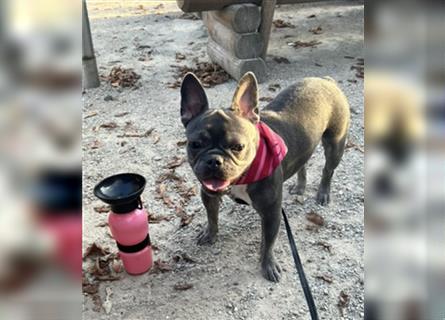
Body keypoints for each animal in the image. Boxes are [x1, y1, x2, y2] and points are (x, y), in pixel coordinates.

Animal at [179, 73, 348, 282]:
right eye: (195, 144)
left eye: (238, 147)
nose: (214, 160)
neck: (242, 178)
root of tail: (326, 80)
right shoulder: (209, 195)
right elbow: (212, 216)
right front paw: (210, 234)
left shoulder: (271, 213)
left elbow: (268, 243)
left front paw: (268, 265)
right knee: (303, 163)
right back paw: (300, 187)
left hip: (335, 144)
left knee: (328, 170)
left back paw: (323, 193)